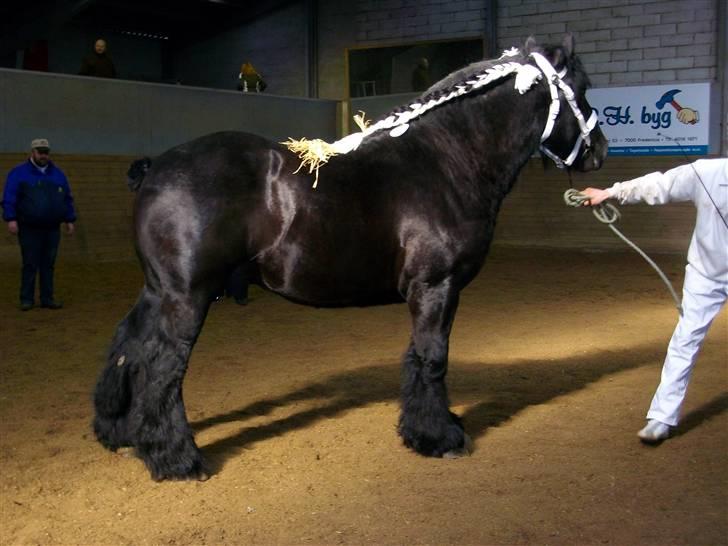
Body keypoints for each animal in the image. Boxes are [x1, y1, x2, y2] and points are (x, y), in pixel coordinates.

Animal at [95, 34, 608, 478]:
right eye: (581, 89)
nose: (600, 151)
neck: (447, 160)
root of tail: (154, 169)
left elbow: (416, 359)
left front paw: (425, 430)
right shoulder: (436, 287)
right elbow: (433, 357)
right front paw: (440, 438)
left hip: (158, 292)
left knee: (127, 347)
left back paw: (121, 434)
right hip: (187, 297)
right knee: (162, 368)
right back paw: (178, 460)